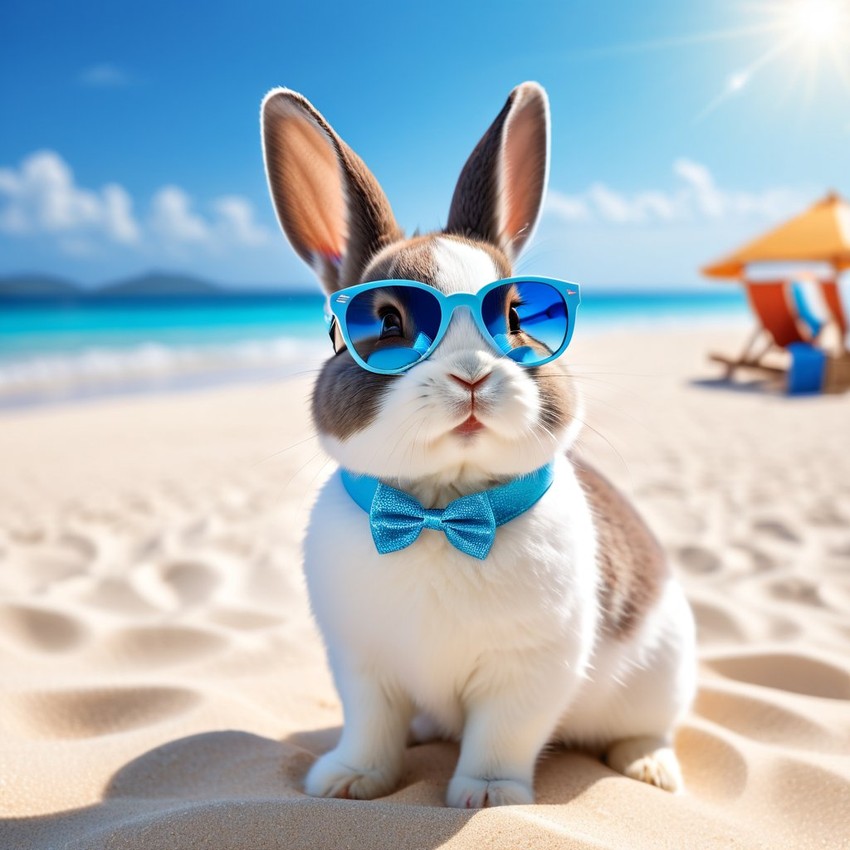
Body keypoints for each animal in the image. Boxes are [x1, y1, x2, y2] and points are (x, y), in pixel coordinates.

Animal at [260, 83, 696, 804]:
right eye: (387, 321)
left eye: (516, 316)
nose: (471, 375)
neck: (440, 511)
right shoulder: (361, 666)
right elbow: (371, 725)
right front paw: (348, 781)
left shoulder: (528, 673)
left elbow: (503, 734)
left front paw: (488, 796)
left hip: (664, 669)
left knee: (652, 727)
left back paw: (649, 767)